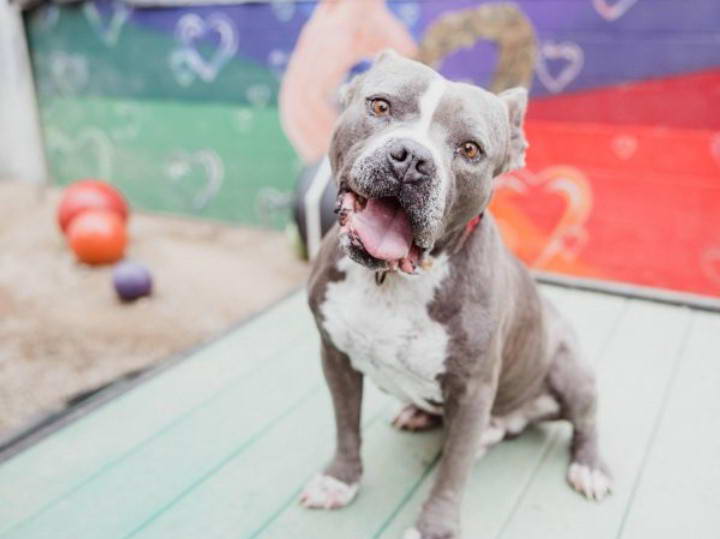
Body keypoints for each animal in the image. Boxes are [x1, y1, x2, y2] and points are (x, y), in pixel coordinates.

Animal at [300, 51, 612, 539]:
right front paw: (340, 480)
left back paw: (590, 467)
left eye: (470, 149)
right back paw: (420, 414)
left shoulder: (472, 391)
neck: (391, 279)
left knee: (586, 420)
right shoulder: (335, 357)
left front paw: (433, 526)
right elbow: (346, 426)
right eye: (380, 106)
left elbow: (452, 471)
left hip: (569, 367)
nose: (410, 159)